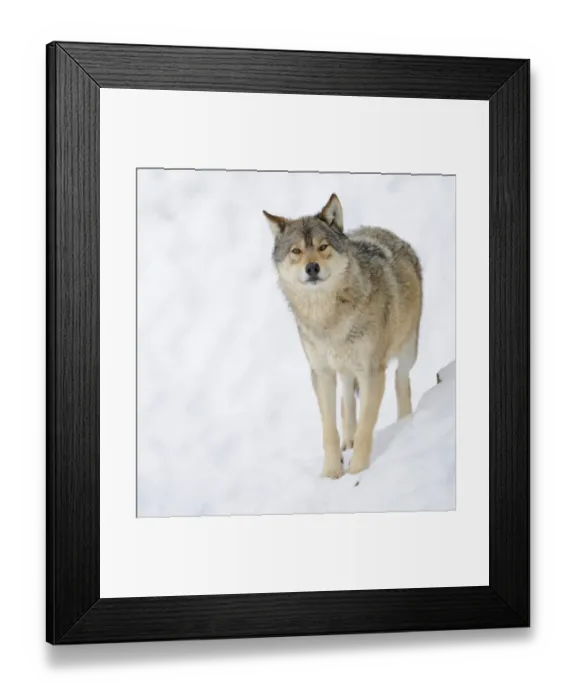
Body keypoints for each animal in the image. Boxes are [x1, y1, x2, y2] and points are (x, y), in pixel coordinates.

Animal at [263, 194, 423, 479]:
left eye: (323, 246)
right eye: (296, 251)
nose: (312, 268)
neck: (328, 319)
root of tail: (382, 230)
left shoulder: (372, 371)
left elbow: (367, 426)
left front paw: (358, 471)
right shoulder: (322, 373)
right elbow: (329, 429)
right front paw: (331, 472)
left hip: (407, 351)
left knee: (400, 379)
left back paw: (405, 422)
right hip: (346, 368)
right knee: (346, 399)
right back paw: (347, 439)